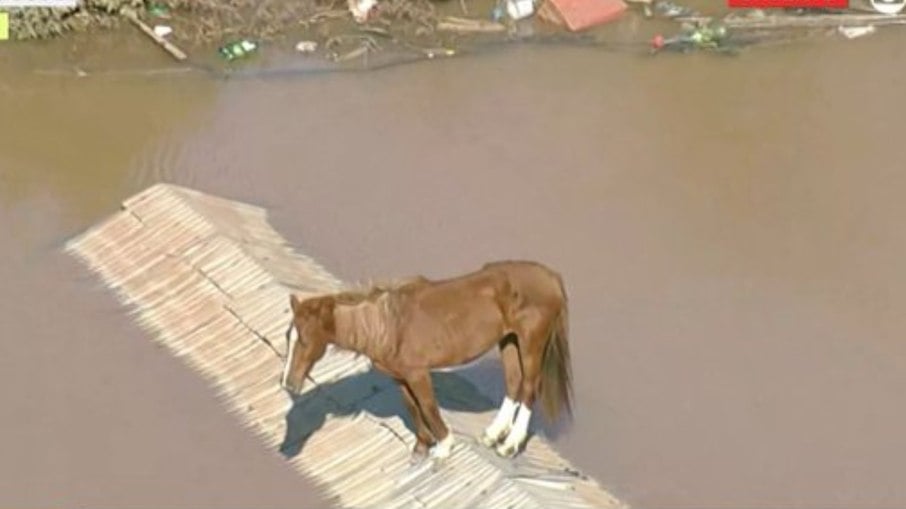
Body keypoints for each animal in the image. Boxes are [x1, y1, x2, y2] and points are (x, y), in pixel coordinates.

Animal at [280, 262, 572, 460]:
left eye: (304, 339)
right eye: (288, 336)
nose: (287, 384)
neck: (386, 325)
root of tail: (552, 278)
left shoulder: (418, 373)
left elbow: (428, 405)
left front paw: (443, 446)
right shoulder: (400, 377)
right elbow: (412, 406)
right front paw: (422, 445)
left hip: (531, 342)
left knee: (529, 388)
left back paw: (510, 445)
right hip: (509, 341)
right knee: (513, 383)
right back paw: (492, 435)